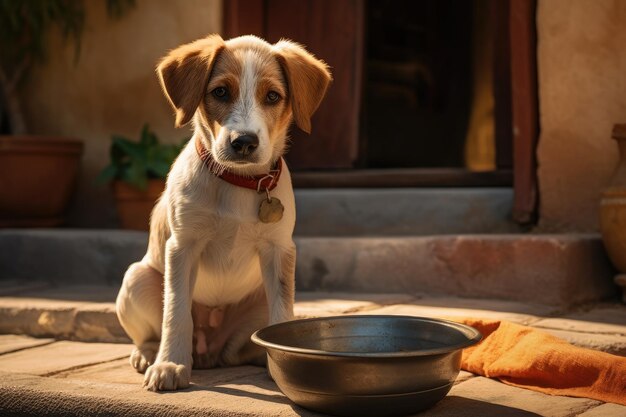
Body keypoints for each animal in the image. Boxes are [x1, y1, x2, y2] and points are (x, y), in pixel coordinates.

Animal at [116, 33, 332, 390]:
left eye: (272, 96)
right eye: (220, 92)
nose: (244, 142)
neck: (240, 182)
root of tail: (210, 352)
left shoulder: (279, 250)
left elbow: (282, 315)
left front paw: (284, 362)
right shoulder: (182, 246)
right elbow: (176, 312)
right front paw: (170, 364)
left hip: (256, 302)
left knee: (245, 346)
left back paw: (262, 359)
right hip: (138, 278)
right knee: (153, 331)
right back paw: (149, 354)